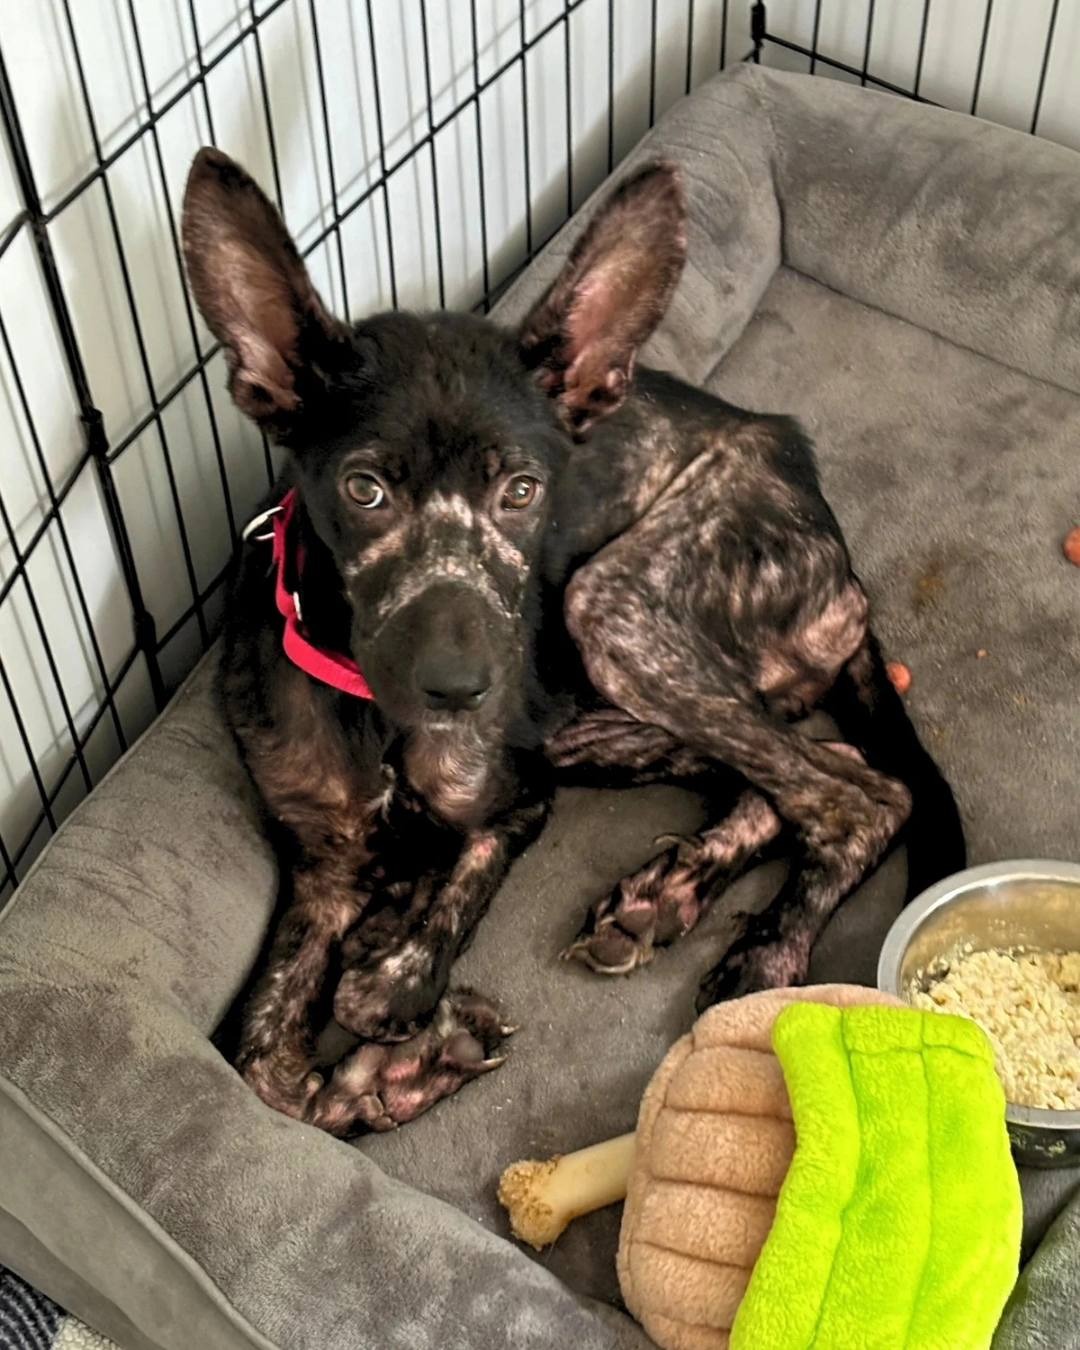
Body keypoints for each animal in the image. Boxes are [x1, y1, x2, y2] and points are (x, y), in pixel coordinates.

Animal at [180, 147, 966, 1134]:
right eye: (364, 490)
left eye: (522, 491)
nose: (461, 688)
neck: (378, 720)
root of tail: (838, 550)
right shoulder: (324, 867)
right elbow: (262, 1071)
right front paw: (392, 1071)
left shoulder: (517, 802)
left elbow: (418, 936)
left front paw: (404, 1010)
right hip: (599, 717)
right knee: (813, 772)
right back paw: (667, 892)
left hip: (610, 611)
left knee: (861, 795)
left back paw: (766, 956)